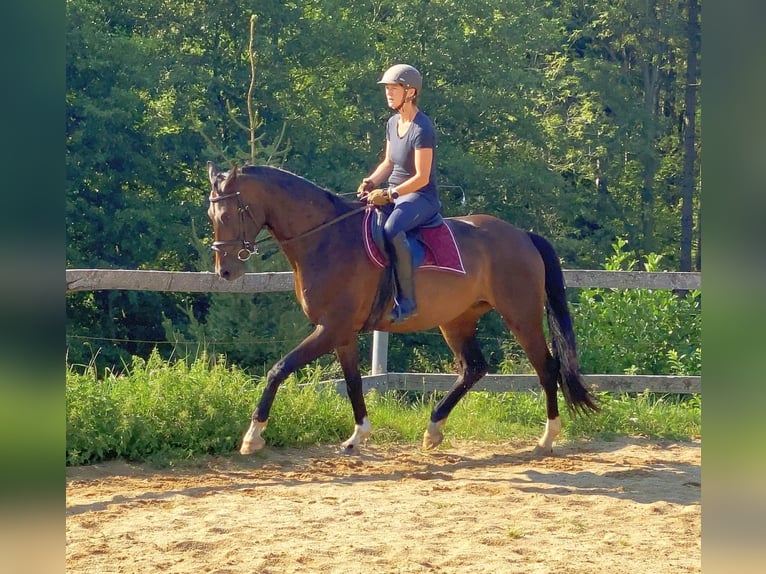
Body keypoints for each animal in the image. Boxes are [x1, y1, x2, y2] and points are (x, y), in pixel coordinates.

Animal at [207, 162, 596, 454]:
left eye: (227, 214)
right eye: (212, 214)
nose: (225, 271)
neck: (327, 239)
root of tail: (521, 234)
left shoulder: (330, 328)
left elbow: (279, 370)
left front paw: (253, 436)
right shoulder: (342, 334)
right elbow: (353, 382)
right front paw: (358, 435)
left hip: (521, 315)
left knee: (546, 368)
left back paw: (547, 437)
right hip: (457, 320)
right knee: (473, 368)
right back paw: (434, 429)